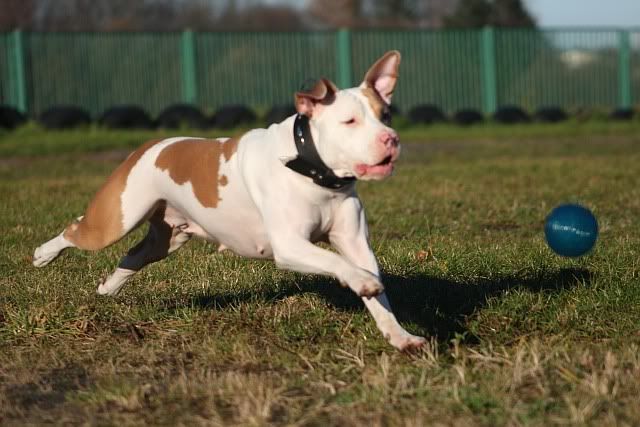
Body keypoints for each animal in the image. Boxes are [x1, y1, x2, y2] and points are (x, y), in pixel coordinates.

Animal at [33, 51, 426, 351]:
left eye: (385, 116)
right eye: (350, 121)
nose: (391, 139)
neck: (312, 168)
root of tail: (149, 145)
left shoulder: (357, 245)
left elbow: (377, 294)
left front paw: (401, 337)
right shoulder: (290, 245)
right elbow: (340, 264)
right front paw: (362, 283)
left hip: (168, 237)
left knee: (132, 256)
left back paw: (107, 290)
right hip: (116, 220)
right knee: (75, 230)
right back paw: (42, 255)